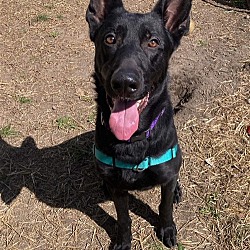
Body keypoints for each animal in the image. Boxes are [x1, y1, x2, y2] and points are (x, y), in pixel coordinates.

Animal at [86, 0, 191, 248]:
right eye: (110, 39)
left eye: (153, 42)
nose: (125, 82)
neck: (133, 139)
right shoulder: (118, 187)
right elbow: (123, 218)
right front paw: (124, 240)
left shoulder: (167, 177)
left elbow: (165, 206)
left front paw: (167, 229)